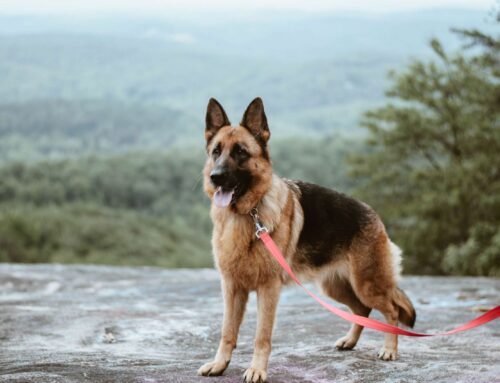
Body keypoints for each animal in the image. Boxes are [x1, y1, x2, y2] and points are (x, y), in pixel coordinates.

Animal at [197, 97, 416, 382]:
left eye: (241, 152)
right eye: (216, 151)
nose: (216, 177)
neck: (248, 214)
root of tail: (374, 214)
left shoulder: (268, 289)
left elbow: (261, 336)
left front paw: (257, 369)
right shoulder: (232, 288)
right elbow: (227, 332)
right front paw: (219, 364)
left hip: (368, 285)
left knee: (391, 310)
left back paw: (389, 349)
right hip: (335, 287)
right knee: (362, 311)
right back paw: (350, 341)